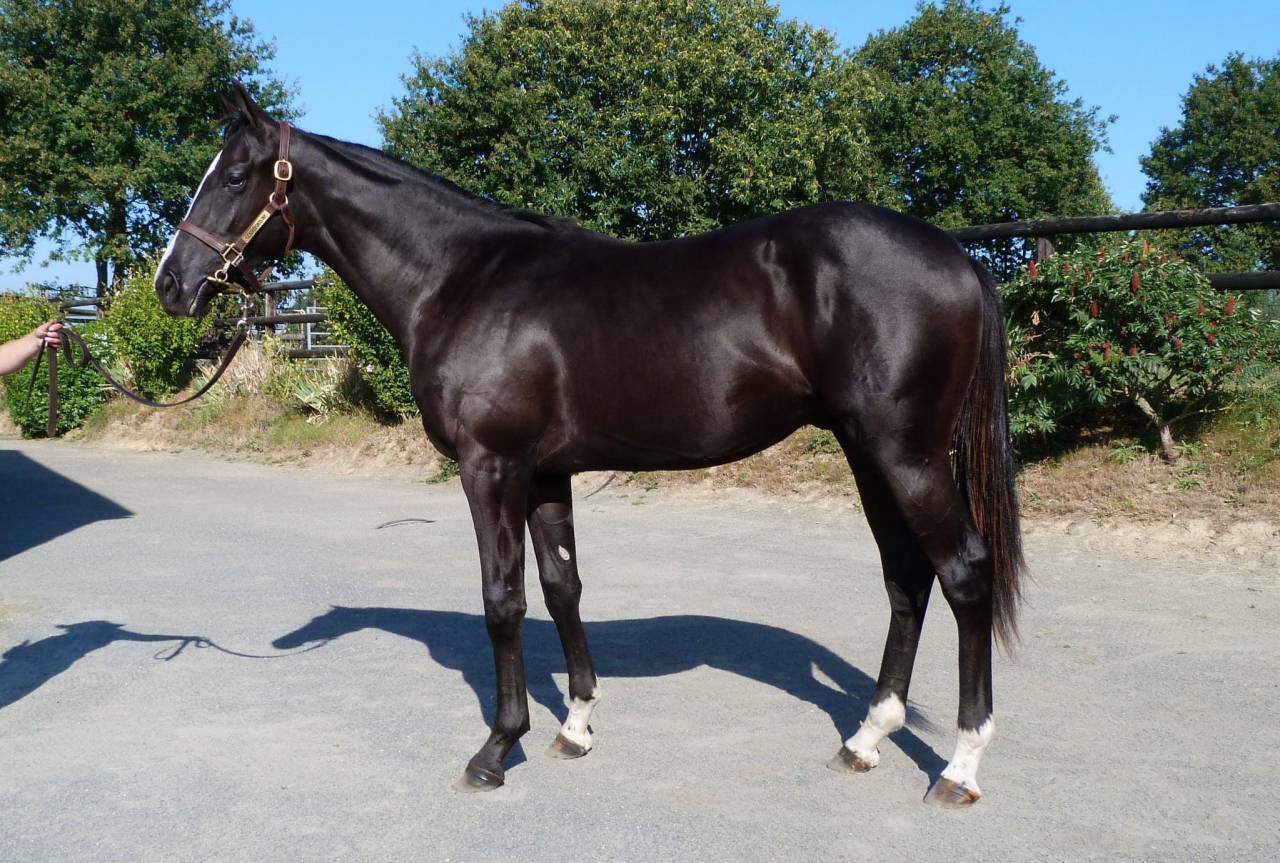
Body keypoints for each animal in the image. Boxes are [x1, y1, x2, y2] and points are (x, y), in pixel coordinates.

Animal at [155, 84, 1025, 808]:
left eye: (235, 176)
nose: (171, 285)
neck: (461, 279)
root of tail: (958, 256)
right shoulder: (546, 473)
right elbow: (562, 585)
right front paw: (574, 725)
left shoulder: (490, 466)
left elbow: (502, 599)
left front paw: (497, 748)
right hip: (866, 449)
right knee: (906, 577)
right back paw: (867, 738)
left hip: (904, 452)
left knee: (963, 573)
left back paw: (960, 766)